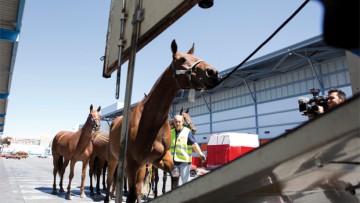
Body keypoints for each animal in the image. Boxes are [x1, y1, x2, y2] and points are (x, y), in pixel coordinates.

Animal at [102, 39, 218, 203]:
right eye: (182, 59)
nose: (212, 72)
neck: (150, 123)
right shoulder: (133, 163)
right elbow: (132, 193)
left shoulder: (157, 159)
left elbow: (173, 175)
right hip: (113, 159)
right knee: (110, 179)